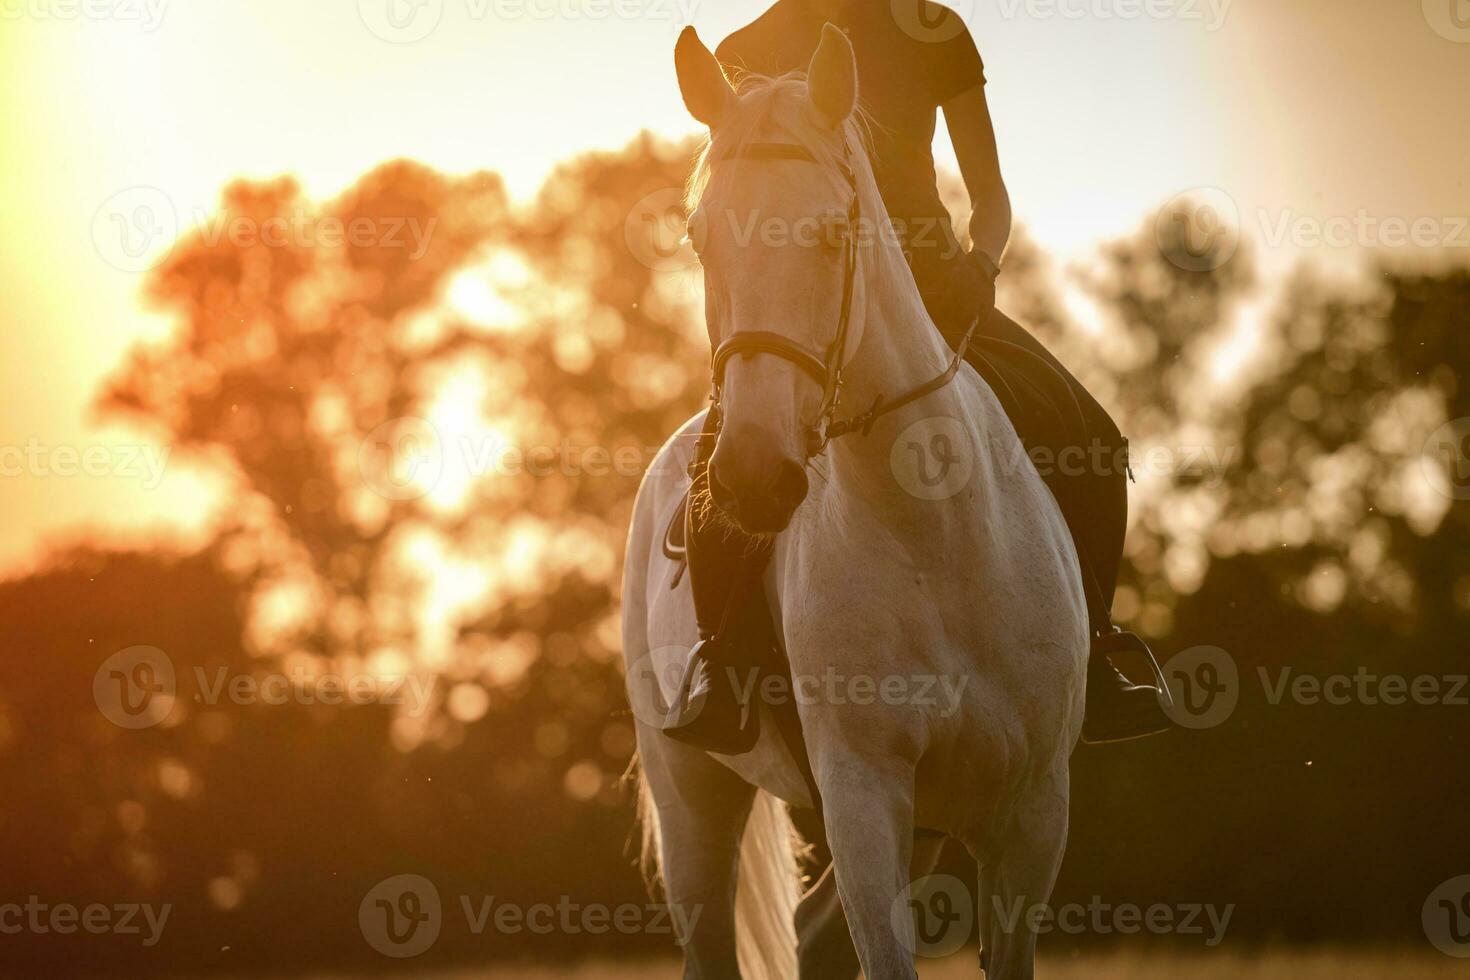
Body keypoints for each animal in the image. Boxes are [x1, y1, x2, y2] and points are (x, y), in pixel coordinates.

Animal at [620, 24, 1093, 980]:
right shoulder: (863, 792)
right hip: (693, 798)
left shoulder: (1031, 811)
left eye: (833, 230)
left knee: (809, 933)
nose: (752, 474)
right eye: (698, 237)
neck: (932, 534)